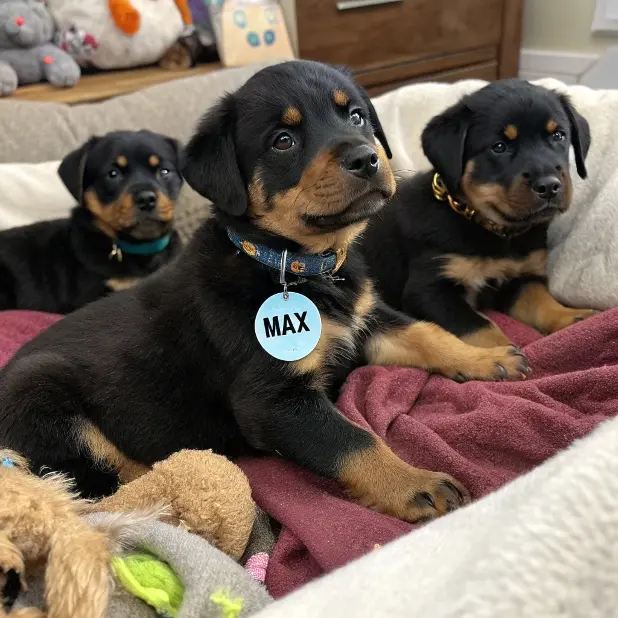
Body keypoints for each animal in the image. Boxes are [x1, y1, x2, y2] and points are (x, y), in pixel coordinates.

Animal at [360, 78, 596, 346]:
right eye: (499, 147)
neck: (493, 230)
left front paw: (572, 317)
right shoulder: (428, 288)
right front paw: (502, 352)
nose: (549, 186)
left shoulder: (520, 278)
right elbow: (479, 326)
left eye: (558, 135)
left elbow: (540, 301)